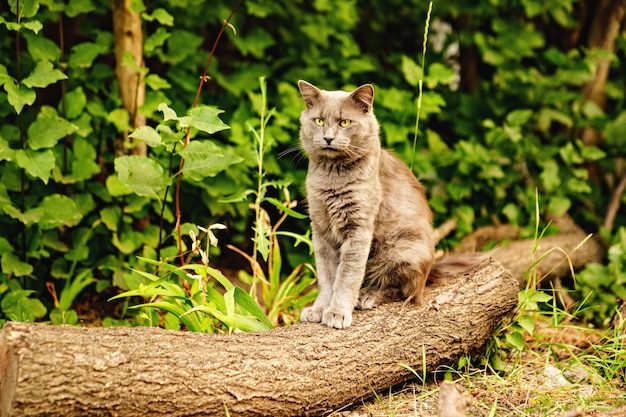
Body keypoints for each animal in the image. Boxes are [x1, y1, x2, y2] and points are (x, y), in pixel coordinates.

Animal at [296, 80, 436, 328]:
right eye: (319, 121)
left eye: (344, 122)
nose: (328, 138)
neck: (332, 177)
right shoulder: (320, 229)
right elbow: (327, 275)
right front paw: (319, 309)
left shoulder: (358, 229)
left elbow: (346, 275)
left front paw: (337, 312)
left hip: (405, 249)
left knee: (407, 292)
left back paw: (368, 295)